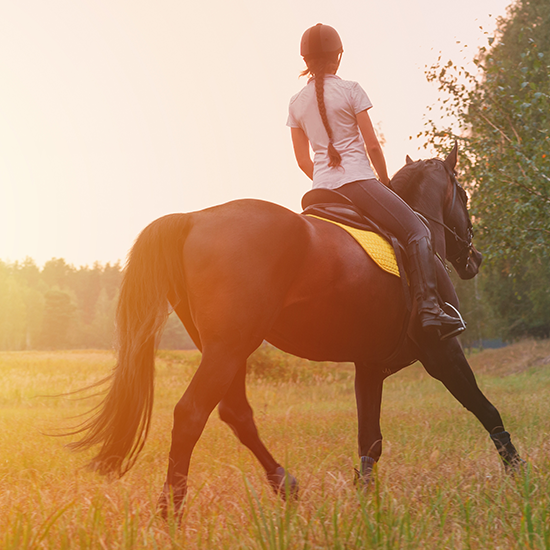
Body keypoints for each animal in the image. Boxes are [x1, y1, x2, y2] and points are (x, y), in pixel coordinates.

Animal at [70, 144, 528, 516]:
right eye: (464, 194)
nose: (475, 258)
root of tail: (194, 219)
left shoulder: (369, 365)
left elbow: (370, 440)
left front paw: (366, 503)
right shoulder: (442, 352)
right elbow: (486, 409)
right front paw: (519, 473)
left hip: (225, 348)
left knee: (235, 414)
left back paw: (284, 485)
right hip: (229, 348)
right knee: (191, 415)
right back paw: (173, 513)